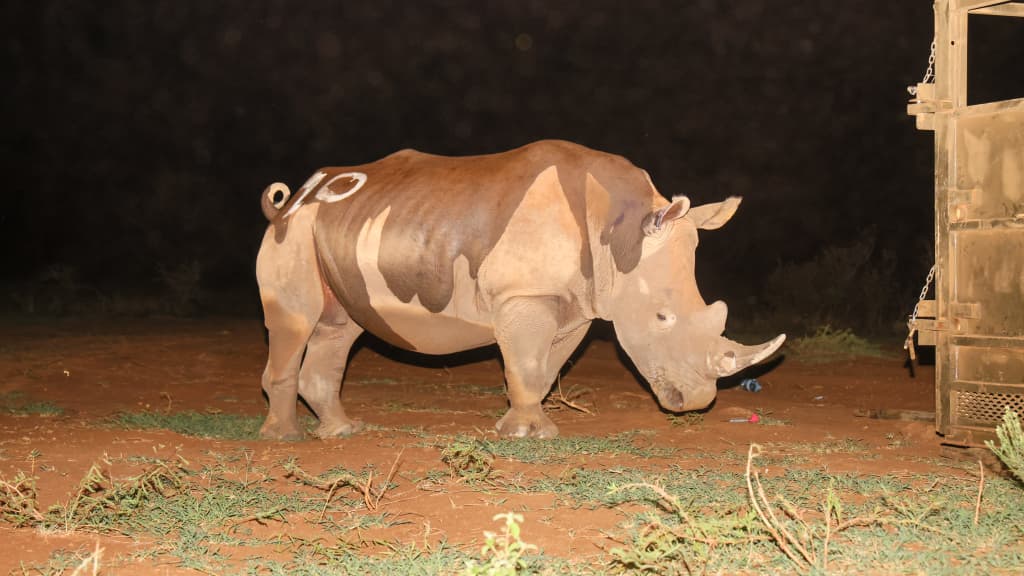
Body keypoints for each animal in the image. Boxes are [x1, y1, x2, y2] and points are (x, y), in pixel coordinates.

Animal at [256, 140, 784, 440]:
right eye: (661, 317)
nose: (696, 401)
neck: (621, 235)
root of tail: (290, 199)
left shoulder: (576, 305)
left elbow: (545, 368)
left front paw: (533, 429)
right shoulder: (525, 294)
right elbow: (526, 364)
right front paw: (526, 436)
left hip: (332, 230)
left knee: (338, 327)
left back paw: (341, 432)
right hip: (295, 231)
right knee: (296, 321)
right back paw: (283, 439)